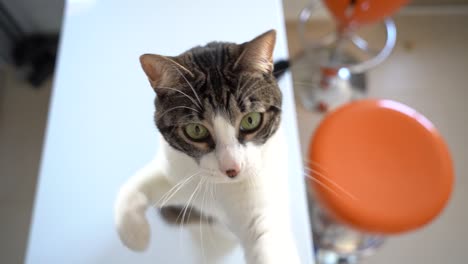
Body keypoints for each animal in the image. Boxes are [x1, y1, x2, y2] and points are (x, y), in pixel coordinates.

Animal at [115, 29, 302, 264]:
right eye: (196, 130)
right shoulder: (177, 170)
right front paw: (135, 234)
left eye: (250, 120)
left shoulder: (262, 197)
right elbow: (139, 183)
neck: (221, 189)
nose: (232, 169)